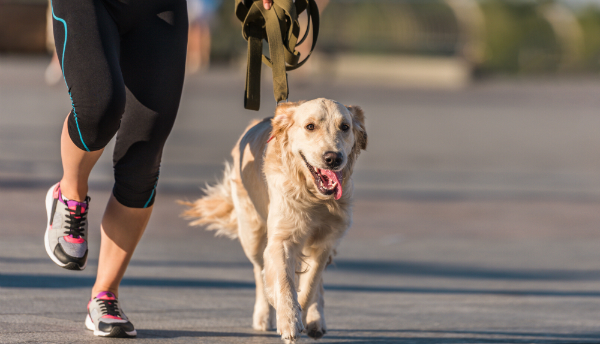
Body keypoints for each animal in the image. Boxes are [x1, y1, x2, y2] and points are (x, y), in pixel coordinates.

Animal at [179, 98, 366, 342]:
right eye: (310, 126)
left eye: (344, 127)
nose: (333, 158)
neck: (313, 197)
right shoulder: (281, 239)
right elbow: (284, 280)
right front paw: (288, 319)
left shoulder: (325, 243)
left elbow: (310, 285)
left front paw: (301, 315)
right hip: (252, 236)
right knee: (259, 271)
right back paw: (263, 314)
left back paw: (316, 320)